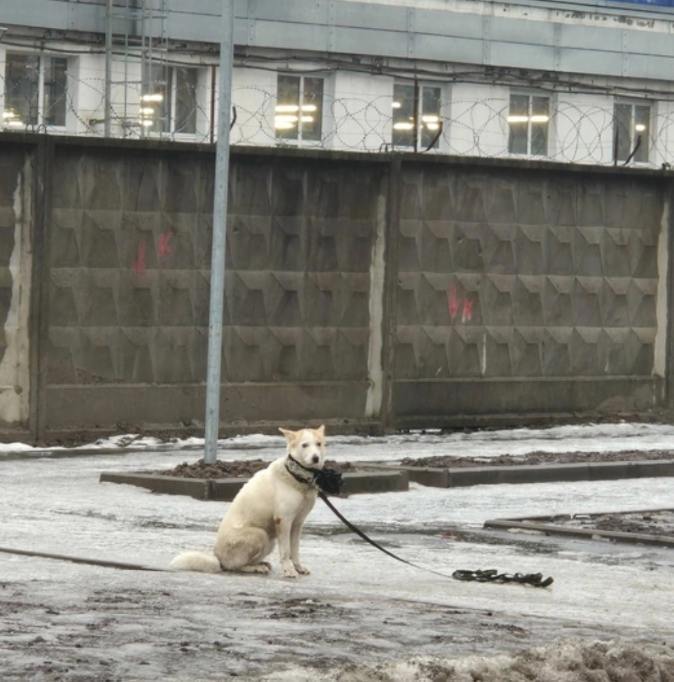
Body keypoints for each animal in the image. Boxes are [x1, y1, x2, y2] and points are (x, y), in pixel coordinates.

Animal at [169, 422, 324, 576]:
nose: (316, 458)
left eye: (319, 444)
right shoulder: (283, 521)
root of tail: (219, 559)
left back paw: (261, 564)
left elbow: (295, 550)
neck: (297, 476)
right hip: (260, 534)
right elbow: (286, 551)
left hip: (269, 541)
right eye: (304, 445)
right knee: (236, 566)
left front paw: (298, 567)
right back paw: (255, 567)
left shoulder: (297, 523)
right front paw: (289, 570)